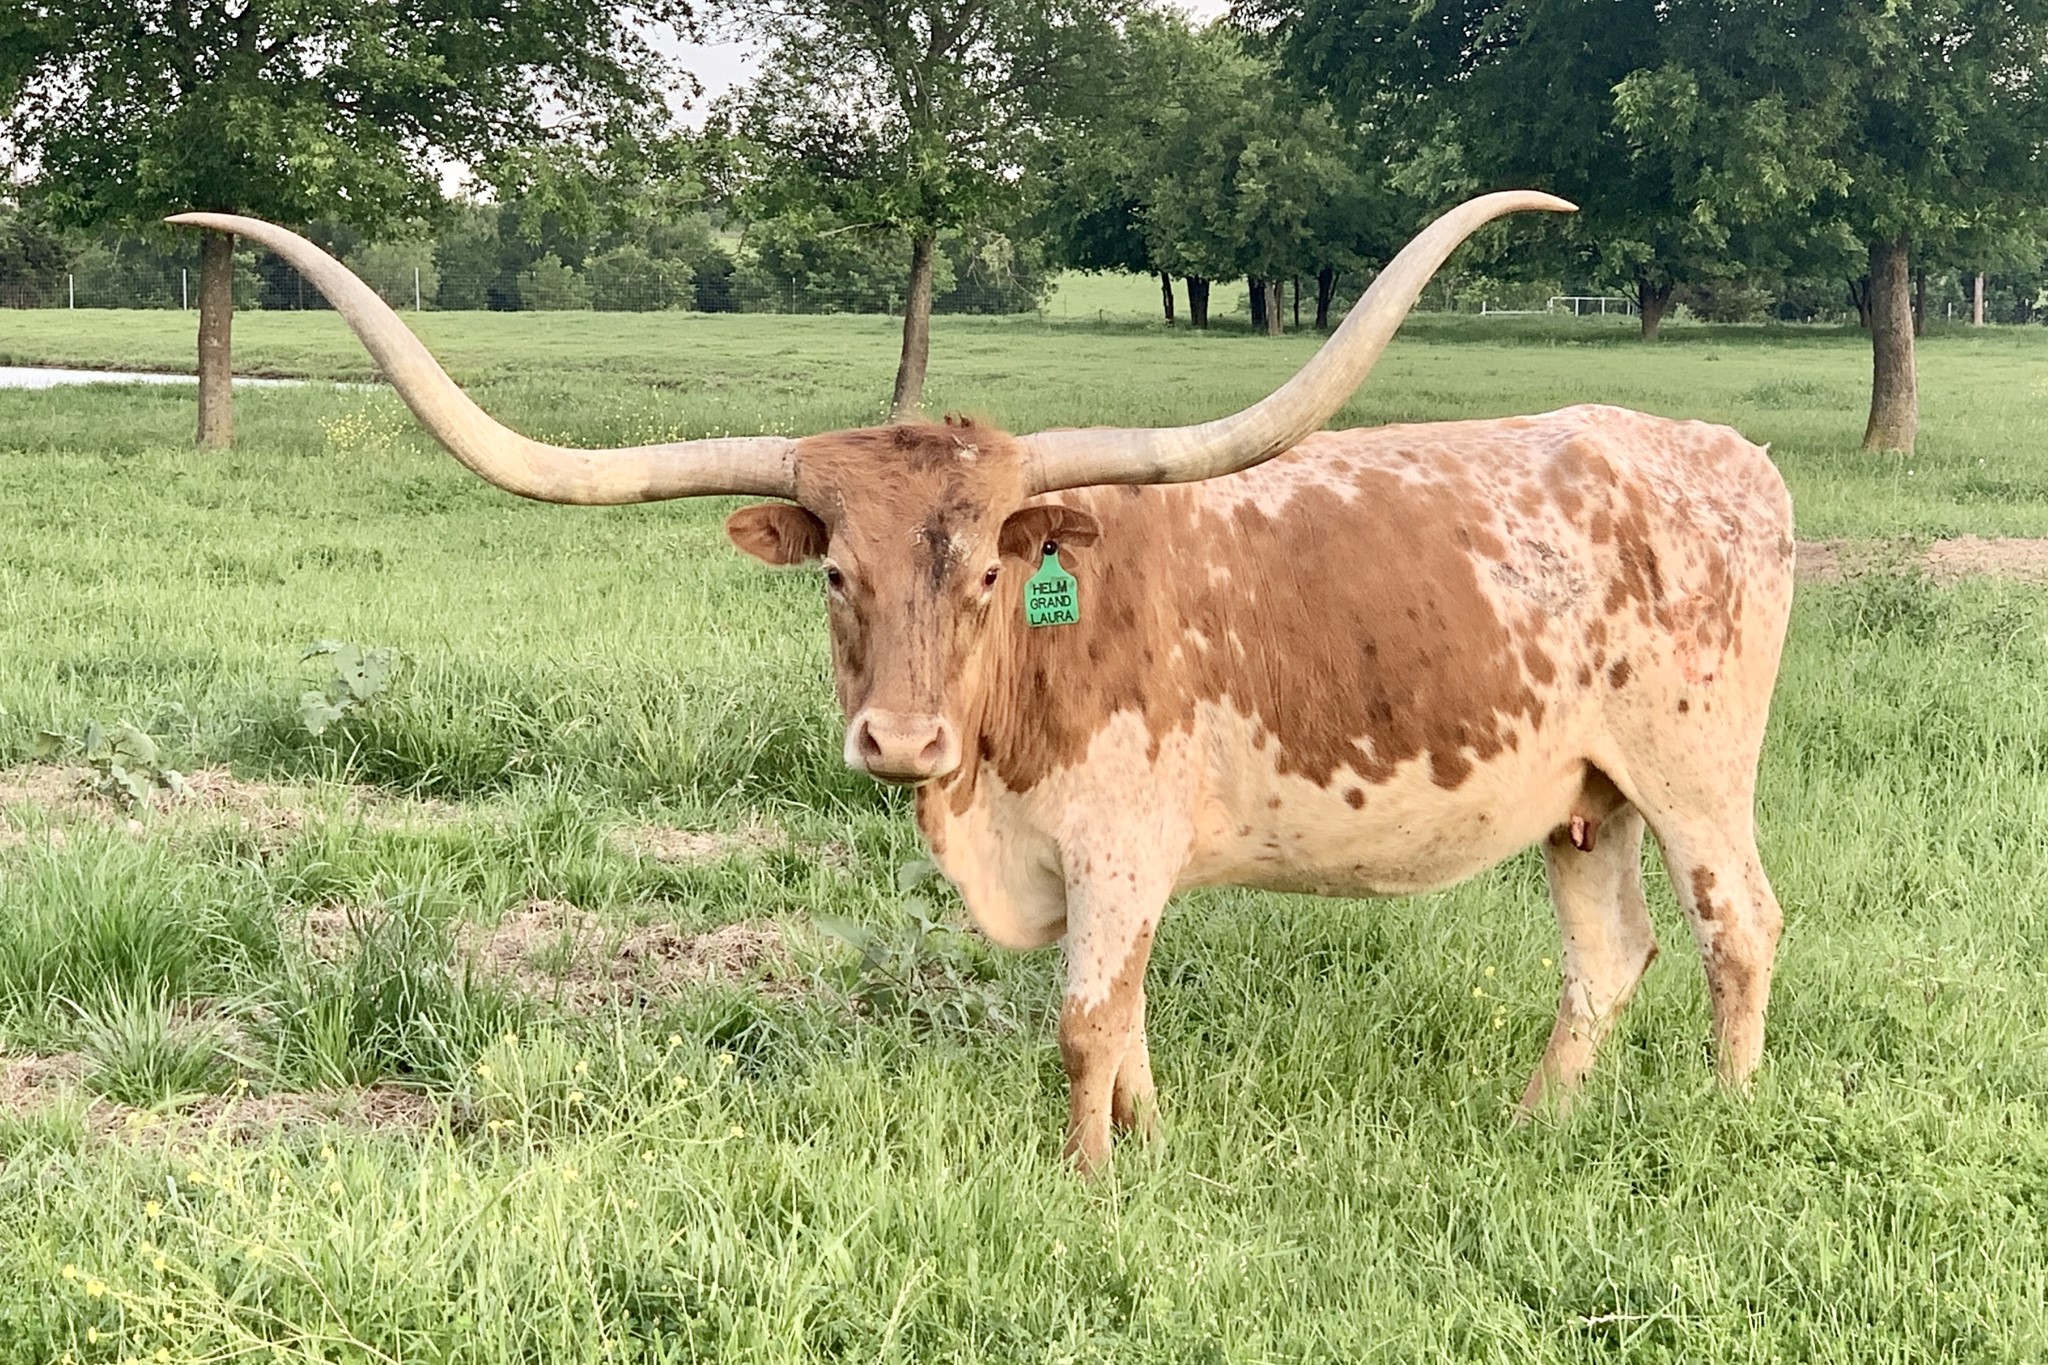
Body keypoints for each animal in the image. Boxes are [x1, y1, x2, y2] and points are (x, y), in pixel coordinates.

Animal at [174, 194, 1794, 1171]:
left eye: (987, 578)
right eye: (835, 573)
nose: (898, 741)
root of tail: (1721, 453)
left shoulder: (1121, 840)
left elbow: (1086, 1019)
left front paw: (1089, 1180)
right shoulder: (1091, 863)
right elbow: (1123, 1019)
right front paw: (1144, 1148)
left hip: (1695, 770)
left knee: (1737, 927)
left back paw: (1726, 1117)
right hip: (1585, 796)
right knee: (1608, 954)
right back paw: (1536, 1123)